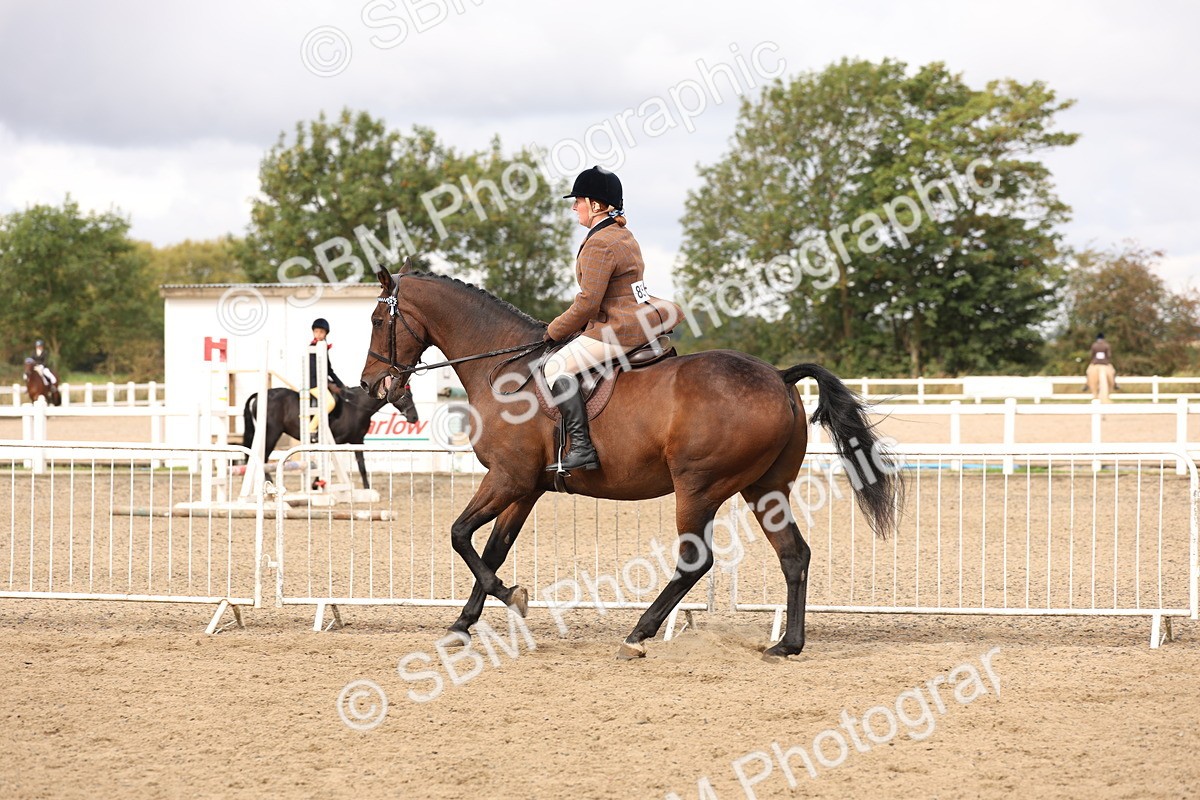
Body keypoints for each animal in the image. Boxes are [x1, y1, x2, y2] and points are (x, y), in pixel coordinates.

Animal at [242, 384, 418, 489]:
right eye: (406, 396)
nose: (414, 418)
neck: (356, 407)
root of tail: (260, 395)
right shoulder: (335, 441)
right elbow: (327, 462)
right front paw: (315, 484)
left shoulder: (357, 440)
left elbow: (361, 465)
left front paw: (367, 488)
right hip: (271, 433)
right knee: (263, 457)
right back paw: (269, 484)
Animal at [360, 262, 902, 660]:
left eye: (378, 321)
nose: (371, 385)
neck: (503, 369)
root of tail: (779, 376)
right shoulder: (525, 486)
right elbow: (491, 549)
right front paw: (462, 625)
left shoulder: (507, 478)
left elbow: (459, 535)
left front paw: (512, 597)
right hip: (765, 488)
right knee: (794, 555)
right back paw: (787, 645)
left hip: (698, 487)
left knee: (695, 561)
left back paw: (638, 635)